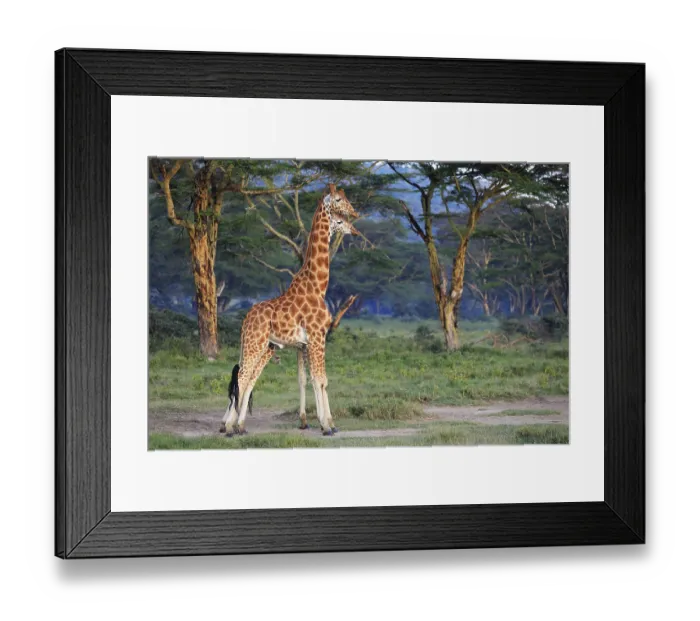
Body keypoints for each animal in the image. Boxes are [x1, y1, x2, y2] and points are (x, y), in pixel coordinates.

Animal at [220, 185, 360, 437]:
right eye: (338, 206)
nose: (354, 223)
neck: (317, 286)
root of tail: (246, 320)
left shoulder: (305, 343)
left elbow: (307, 379)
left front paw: (315, 422)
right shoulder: (317, 336)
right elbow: (321, 379)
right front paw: (328, 426)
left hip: (258, 346)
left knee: (246, 377)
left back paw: (238, 425)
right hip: (256, 344)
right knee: (243, 377)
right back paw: (229, 427)